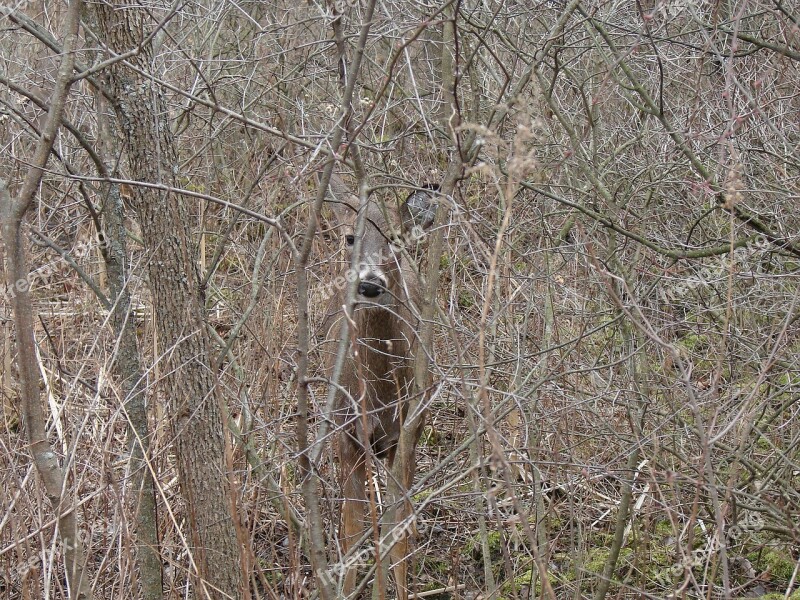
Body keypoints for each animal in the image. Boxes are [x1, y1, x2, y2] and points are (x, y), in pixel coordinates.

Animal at [322, 175, 434, 600]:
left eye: (396, 237)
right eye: (350, 237)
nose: (370, 286)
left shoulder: (407, 432)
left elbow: (392, 531)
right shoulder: (346, 435)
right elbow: (353, 529)